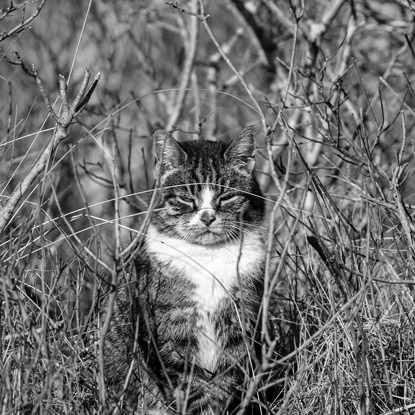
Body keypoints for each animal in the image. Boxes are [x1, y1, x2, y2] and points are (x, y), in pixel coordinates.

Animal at [102, 127, 268, 415]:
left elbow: (224, 386)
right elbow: (190, 389)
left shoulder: (239, 327)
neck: (209, 259)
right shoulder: (171, 335)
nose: (208, 217)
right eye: (186, 198)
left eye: (226, 197)